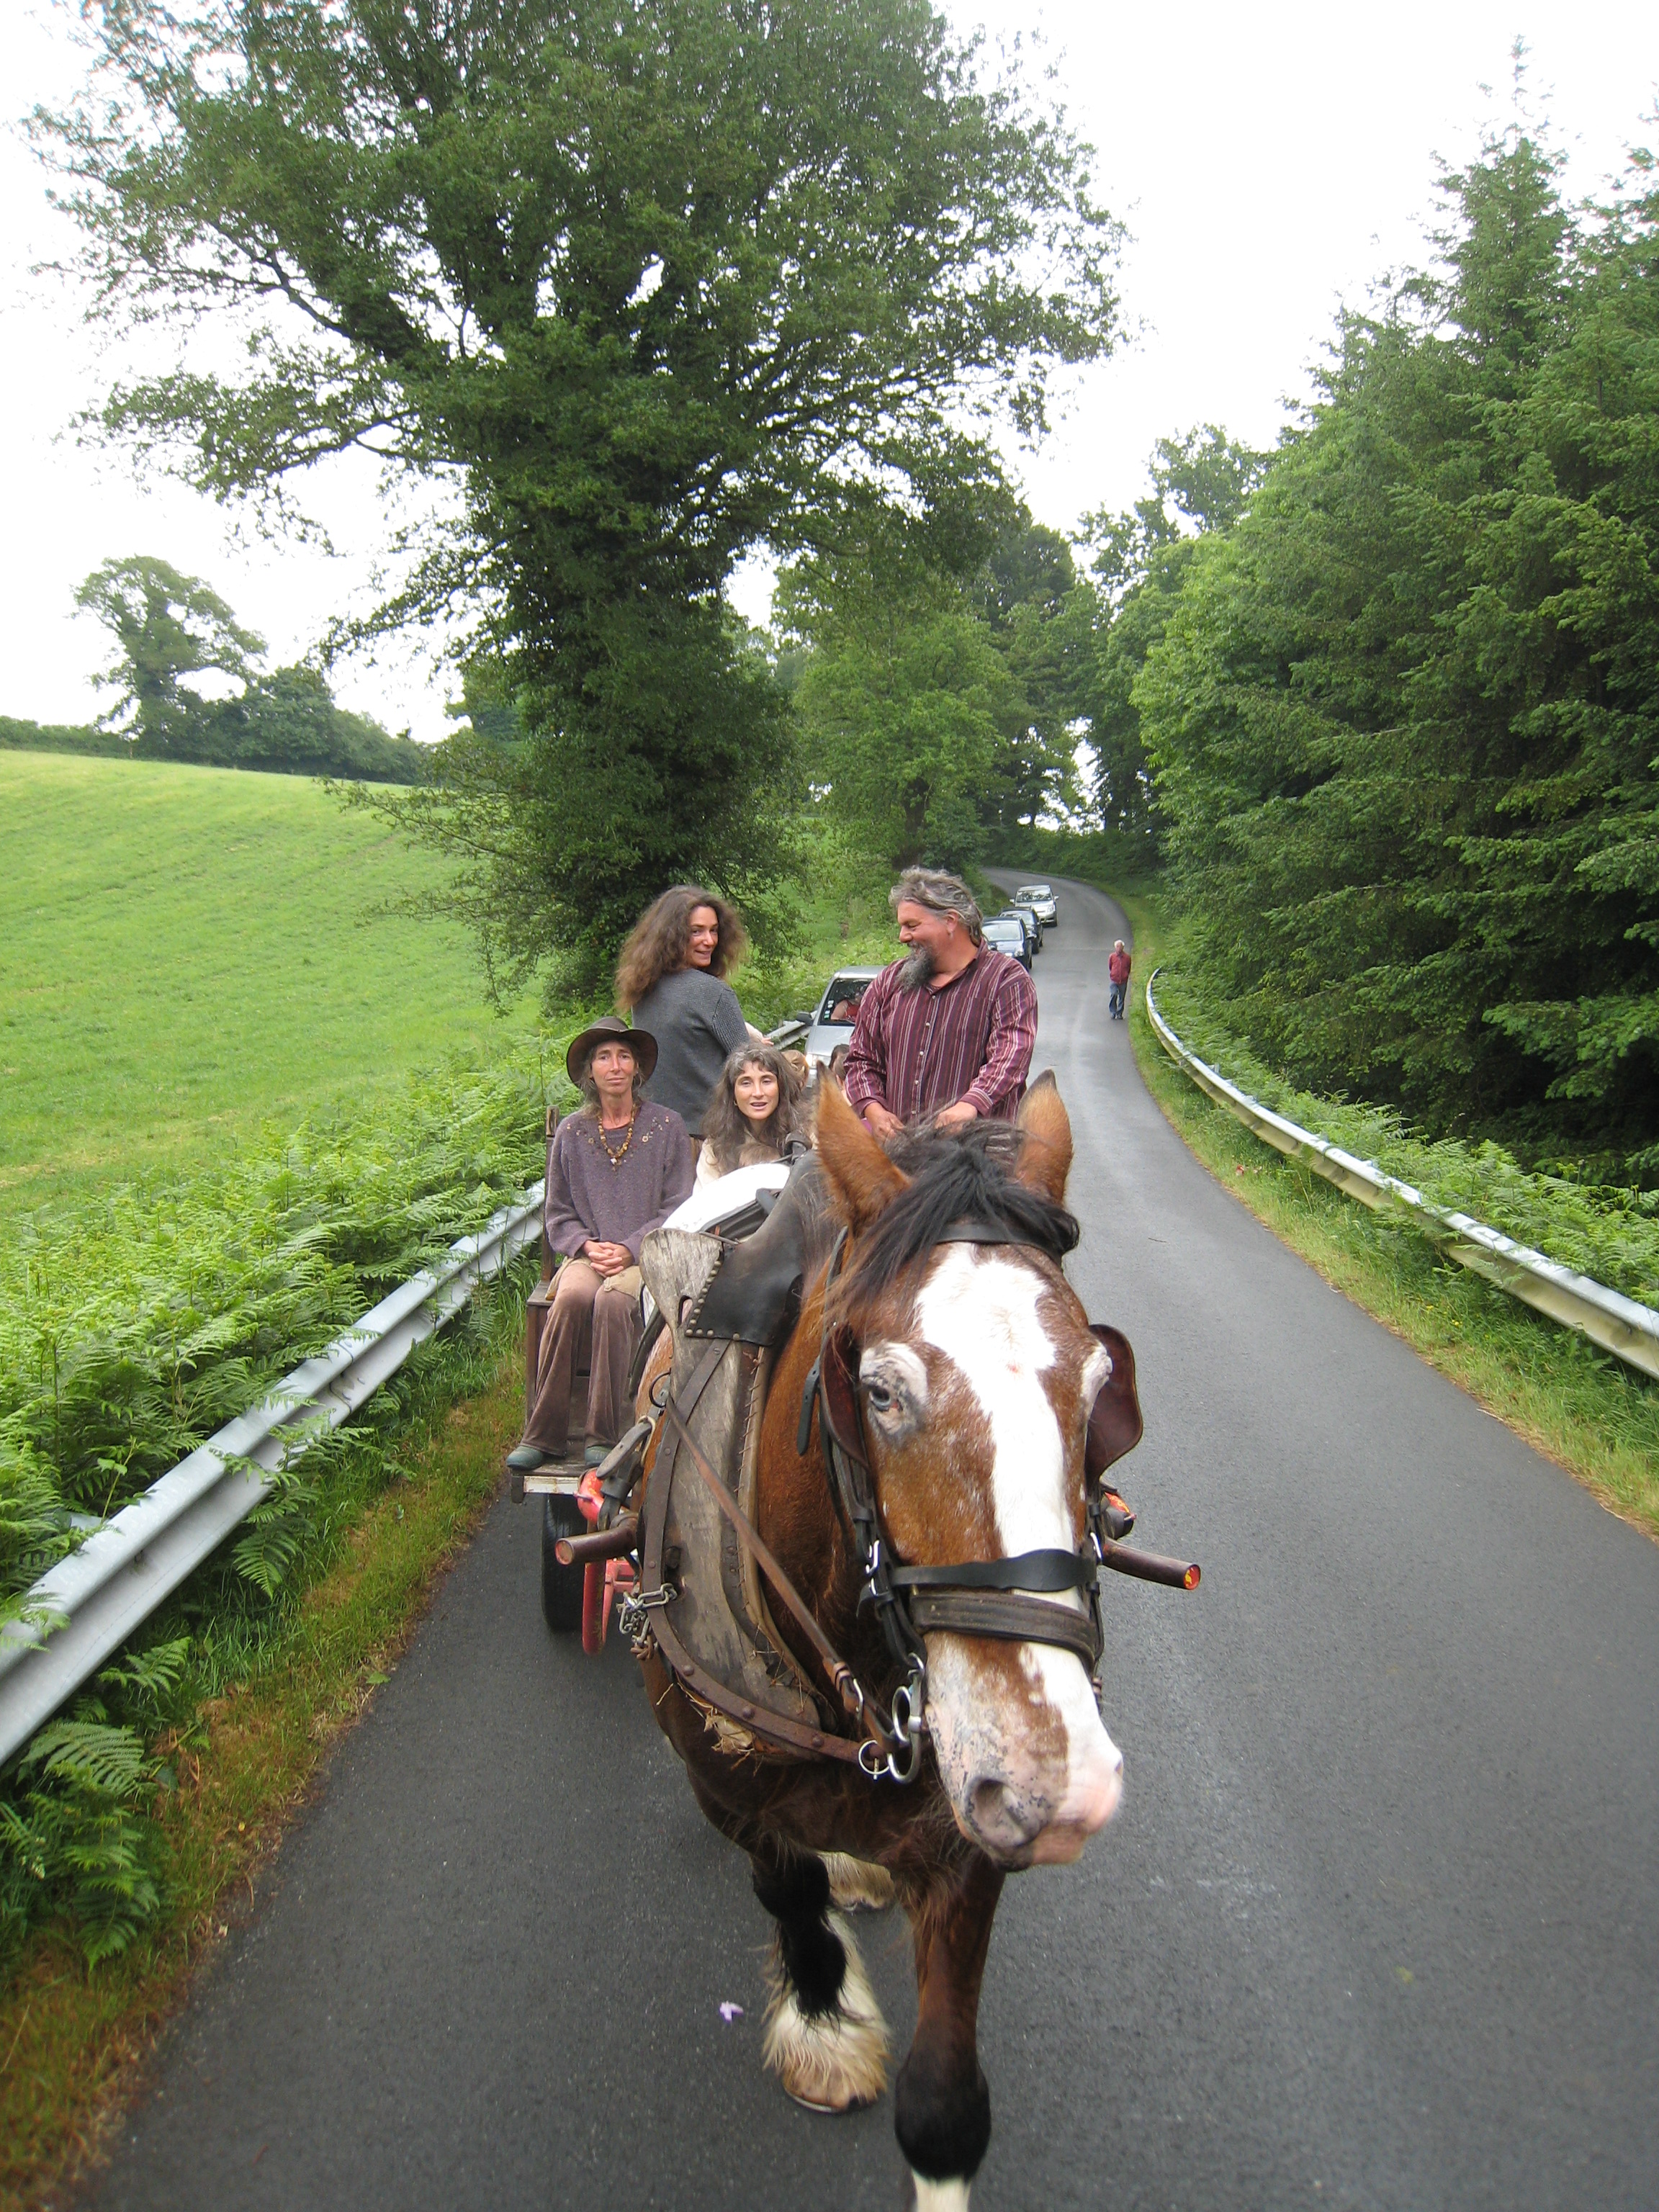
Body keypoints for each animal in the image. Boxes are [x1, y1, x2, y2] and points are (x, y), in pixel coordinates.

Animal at [629, 1074, 1141, 2209]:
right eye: (880, 1391)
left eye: (1102, 1389)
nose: (1054, 1785)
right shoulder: (724, 1781)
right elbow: (785, 1887)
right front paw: (824, 2024)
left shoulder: (964, 1830)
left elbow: (945, 2112)